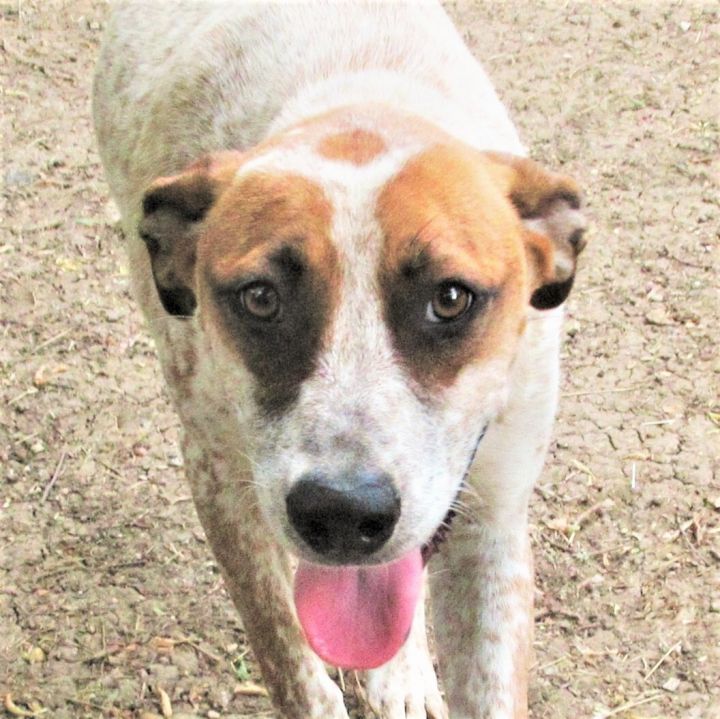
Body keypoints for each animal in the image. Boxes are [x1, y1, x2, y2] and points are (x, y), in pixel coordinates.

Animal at [93, 2, 584, 716]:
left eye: (451, 298)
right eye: (261, 298)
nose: (343, 512)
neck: (363, 91)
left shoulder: (493, 516)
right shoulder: (218, 480)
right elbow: (291, 662)